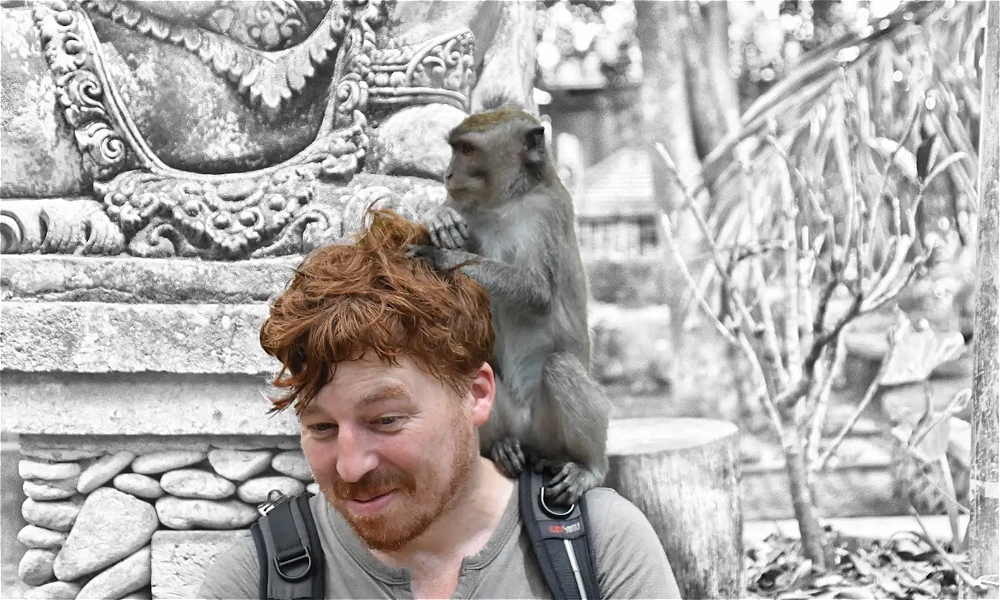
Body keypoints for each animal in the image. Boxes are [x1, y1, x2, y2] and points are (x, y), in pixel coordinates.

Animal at [406, 96, 611, 508]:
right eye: (455, 148)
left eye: (468, 150)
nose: (448, 174)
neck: (507, 200)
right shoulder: (470, 209)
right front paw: (439, 216)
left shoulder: (545, 213)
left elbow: (535, 292)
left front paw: (442, 258)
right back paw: (502, 446)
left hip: (550, 431)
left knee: (561, 367)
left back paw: (590, 467)